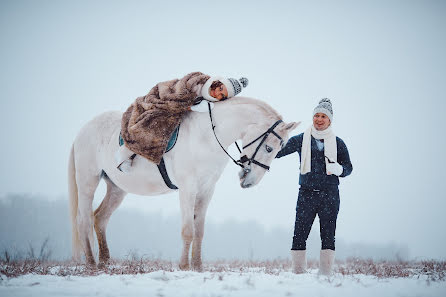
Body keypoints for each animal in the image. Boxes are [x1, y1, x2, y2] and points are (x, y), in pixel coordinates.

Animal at [68, 96, 298, 270]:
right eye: (269, 148)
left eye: (279, 149)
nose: (249, 181)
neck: (208, 136)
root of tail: (83, 130)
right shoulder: (188, 188)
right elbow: (188, 230)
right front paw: (184, 266)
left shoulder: (206, 190)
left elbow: (199, 230)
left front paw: (197, 266)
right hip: (88, 182)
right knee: (84, 220)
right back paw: (91, 264)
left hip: (117, 189)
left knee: (100, 218)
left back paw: (105, 262)